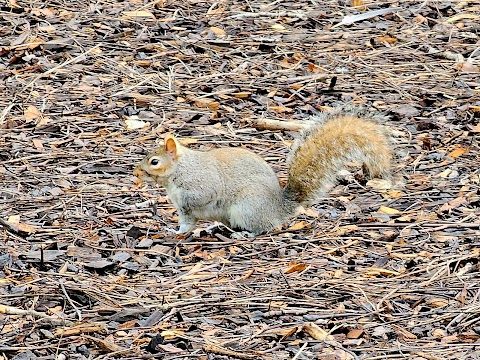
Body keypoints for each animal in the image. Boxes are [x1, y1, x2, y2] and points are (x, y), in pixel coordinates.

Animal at [133, 107, 392, 236]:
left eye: (154, 161)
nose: (136, 173)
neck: (178, 171)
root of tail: (277, 208)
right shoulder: (185, 213)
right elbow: (186, 224)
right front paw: (175, 231)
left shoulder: (201, 184)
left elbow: (200, 198)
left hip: (247, 207)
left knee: (264, 228)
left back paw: (245, 234)